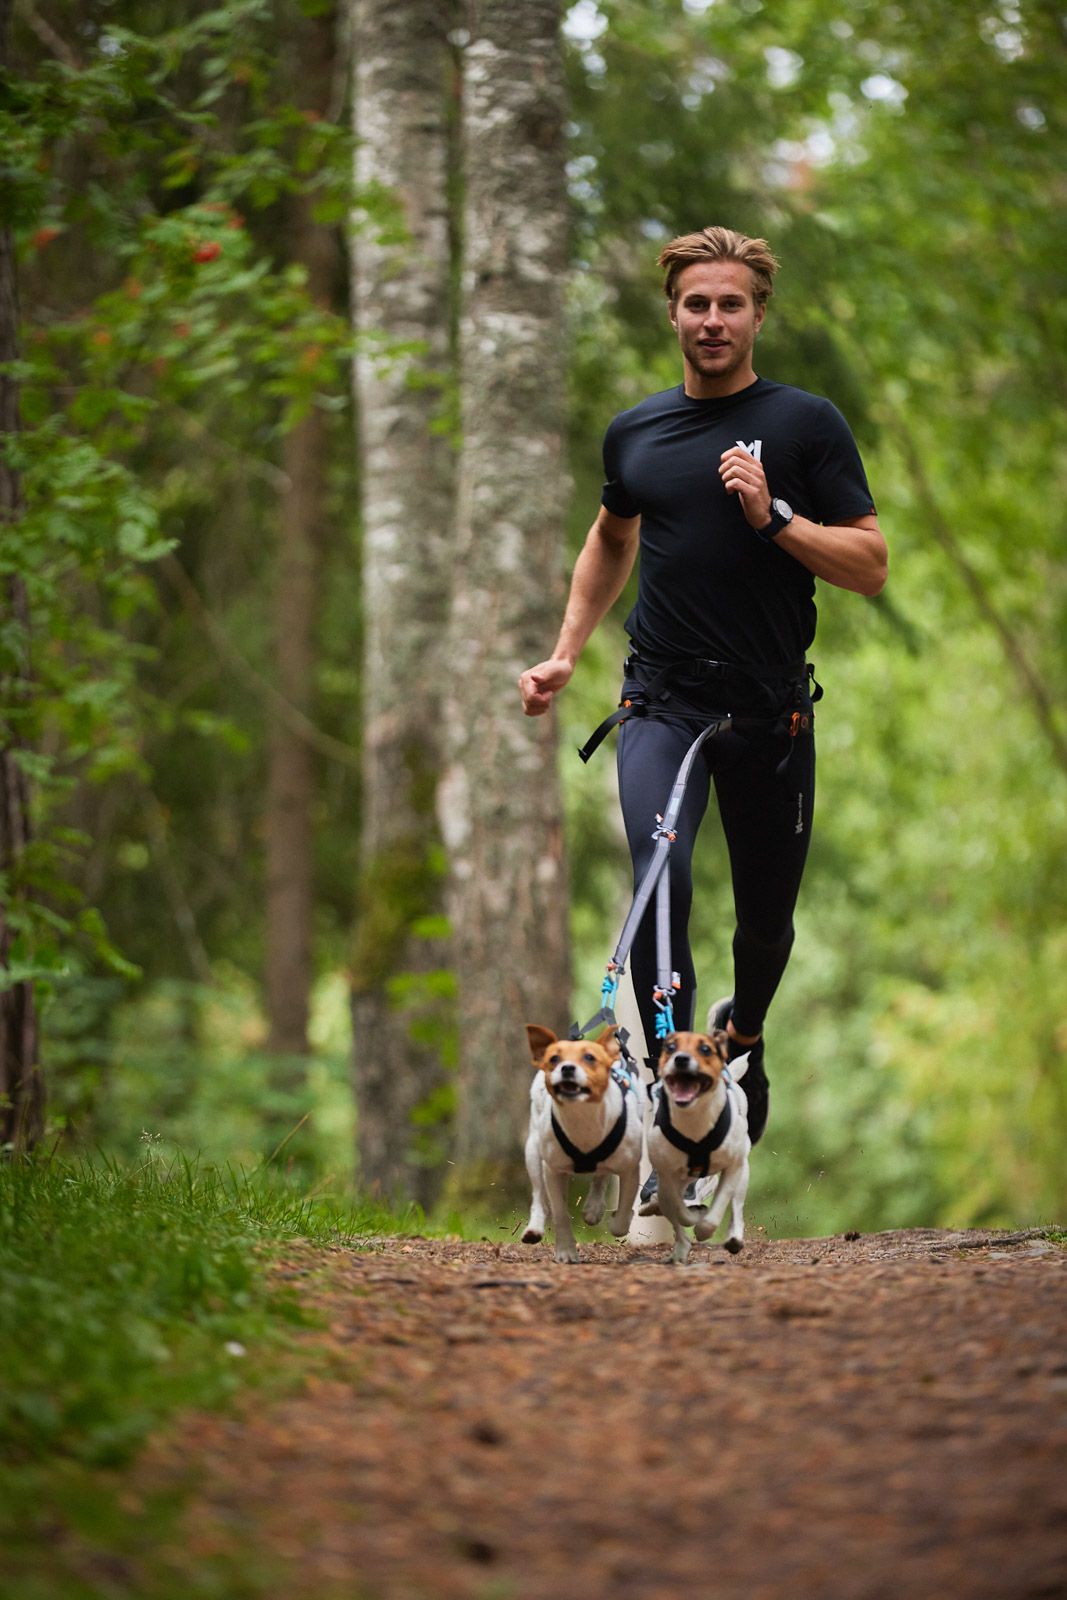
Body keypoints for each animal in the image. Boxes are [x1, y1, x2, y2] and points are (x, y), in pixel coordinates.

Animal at [521, 1024, 646, 1260]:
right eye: (554, 1058)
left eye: (589, 1057)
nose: (567, 1068)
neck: (582, 1117)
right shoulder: (553, 1170)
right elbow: (560, 1212)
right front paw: (565, 1252)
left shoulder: (630, 1168)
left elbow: (623, 1213)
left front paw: (618, 1219)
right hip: (533, 1151)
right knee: (539, 1195)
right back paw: (534, 1227)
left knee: (601, 1175)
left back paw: (593, 1208)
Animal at [643, 1030, 751, 1267]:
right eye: (670, 1047)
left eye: (705, 1049)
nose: (681, 1059)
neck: (694, 1123)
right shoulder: (667, 1177)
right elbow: (679, 1211)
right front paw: (694, 1215)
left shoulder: (732, 1168)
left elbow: (718, 1207)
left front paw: (703, 1228)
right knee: (676, 1218)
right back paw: (679, 1251)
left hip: (742, 1173)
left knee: (736, 1206)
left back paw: (734, 1237)